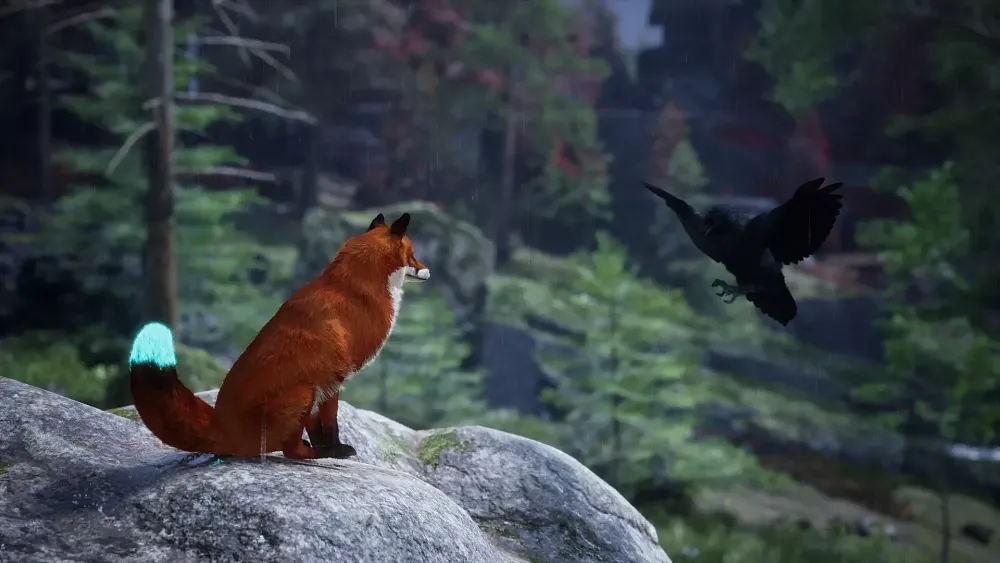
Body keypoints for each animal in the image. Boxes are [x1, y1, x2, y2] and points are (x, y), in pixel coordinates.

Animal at [128, 212, 430, 459]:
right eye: (413, 254)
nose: (428, 270)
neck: (352, 288)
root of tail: (221, 425)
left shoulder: (322, 381)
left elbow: (318, 427)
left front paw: (326, 447)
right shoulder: (332, 378)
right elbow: (331, 424)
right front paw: (334, 451)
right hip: (302, 394)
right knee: (289, 450)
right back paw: (313, 455)